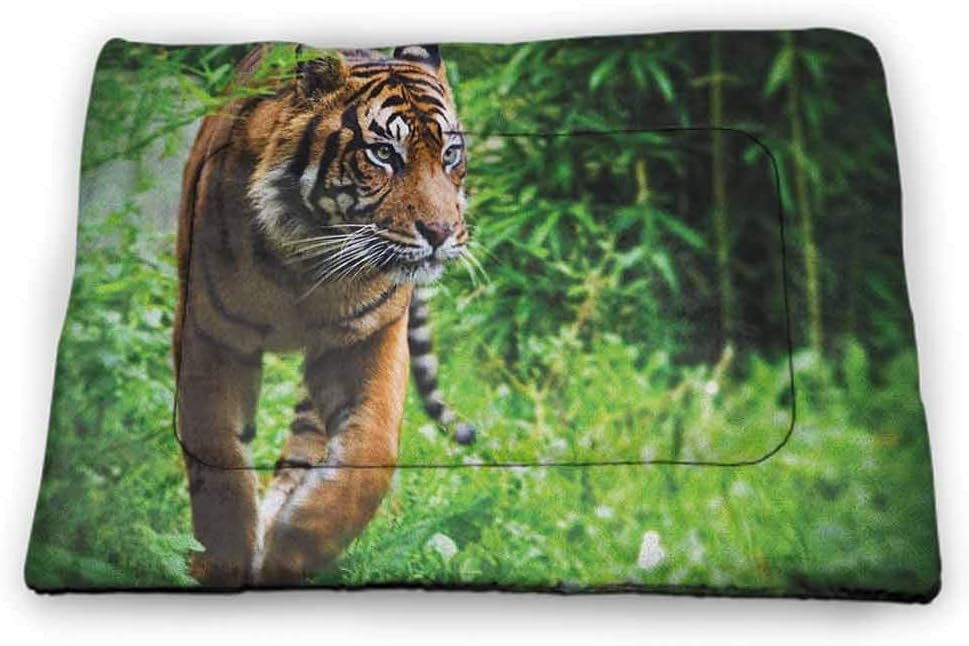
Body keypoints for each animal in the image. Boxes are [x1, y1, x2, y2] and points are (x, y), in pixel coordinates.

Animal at [173, 43, 474, 587]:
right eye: (384, 154)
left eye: (450, 154)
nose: (442, 233)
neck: (305, 263)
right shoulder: (212, 336)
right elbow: (217, 453)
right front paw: (220, 563)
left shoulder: (367, 339)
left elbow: (370, 454)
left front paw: (293, 549)